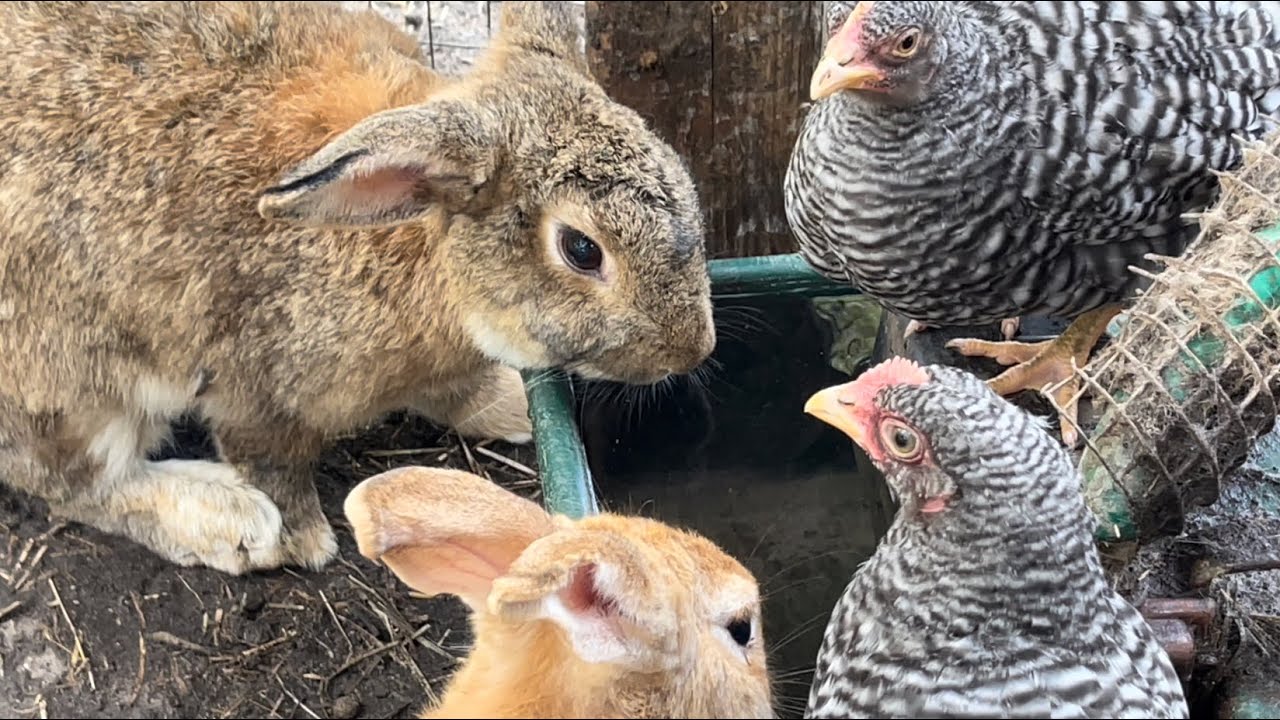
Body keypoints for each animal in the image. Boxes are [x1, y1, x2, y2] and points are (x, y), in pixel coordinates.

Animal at [0, 1, 715, 576]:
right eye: (581, 250)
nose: (694, 350)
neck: (423, 238)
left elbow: (457, 391)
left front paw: (513, 407)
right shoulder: (259, 390)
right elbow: (271, 461)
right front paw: (301, 540)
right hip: (73, 383)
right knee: (73, 482)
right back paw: (228, 522)